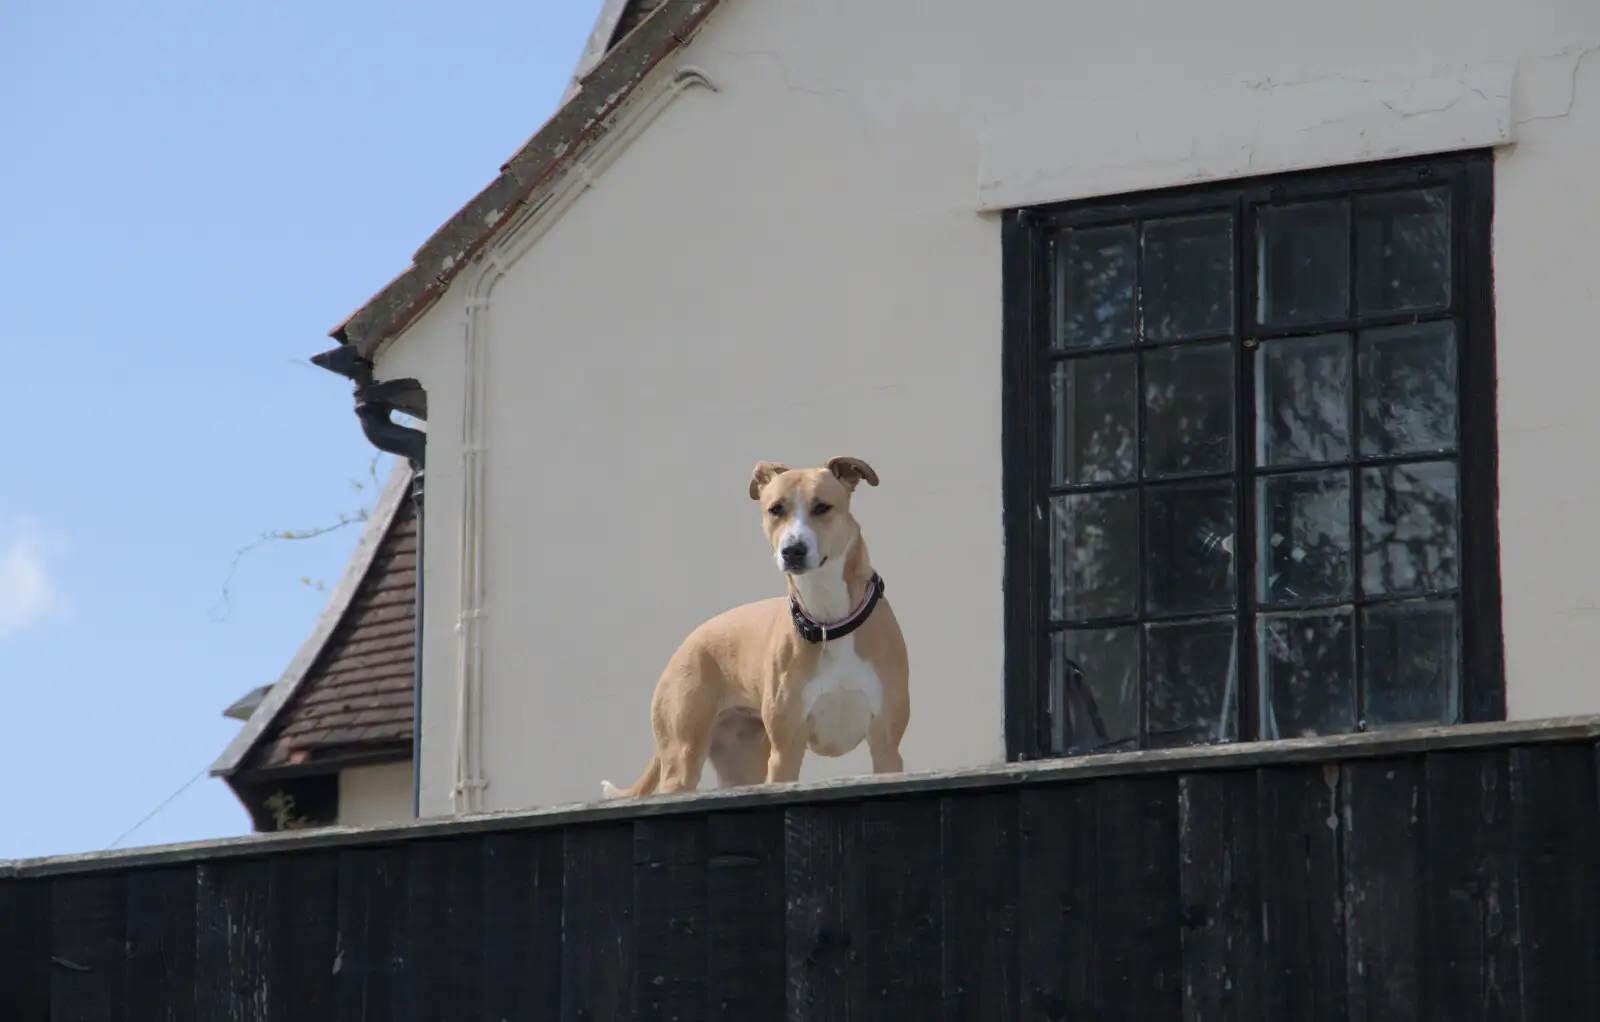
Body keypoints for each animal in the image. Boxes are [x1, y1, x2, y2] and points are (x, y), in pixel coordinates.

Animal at [598, 454, 908, 799]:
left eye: (822, 507)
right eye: (775, 509)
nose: (792, 550)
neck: (829, 621)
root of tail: (687, 644)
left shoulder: (886, 747)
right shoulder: (785, 752)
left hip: (741, 765)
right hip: (682, 761)